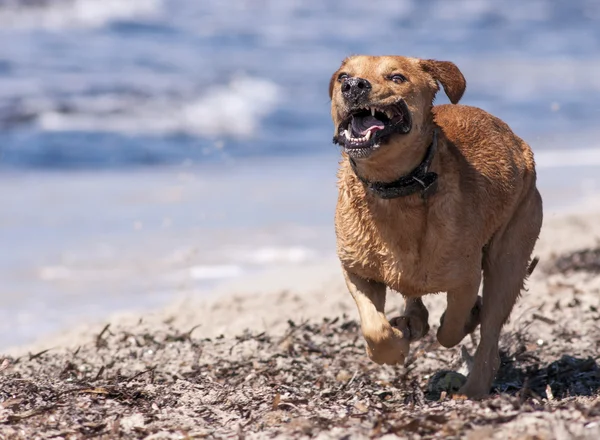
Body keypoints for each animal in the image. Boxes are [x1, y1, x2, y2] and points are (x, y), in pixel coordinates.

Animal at [328, 55, 544, 398]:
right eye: (343, 77)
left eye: (397, 77)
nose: (353, 86)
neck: (396, 187)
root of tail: (515, 139)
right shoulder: (358, 271)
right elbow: (375, 328)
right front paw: (395, 344)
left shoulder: (466, 279)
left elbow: (452, 327)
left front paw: (464, 320)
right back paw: (414, 321)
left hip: (509, 254)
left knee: (490, 334)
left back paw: (473, 389)